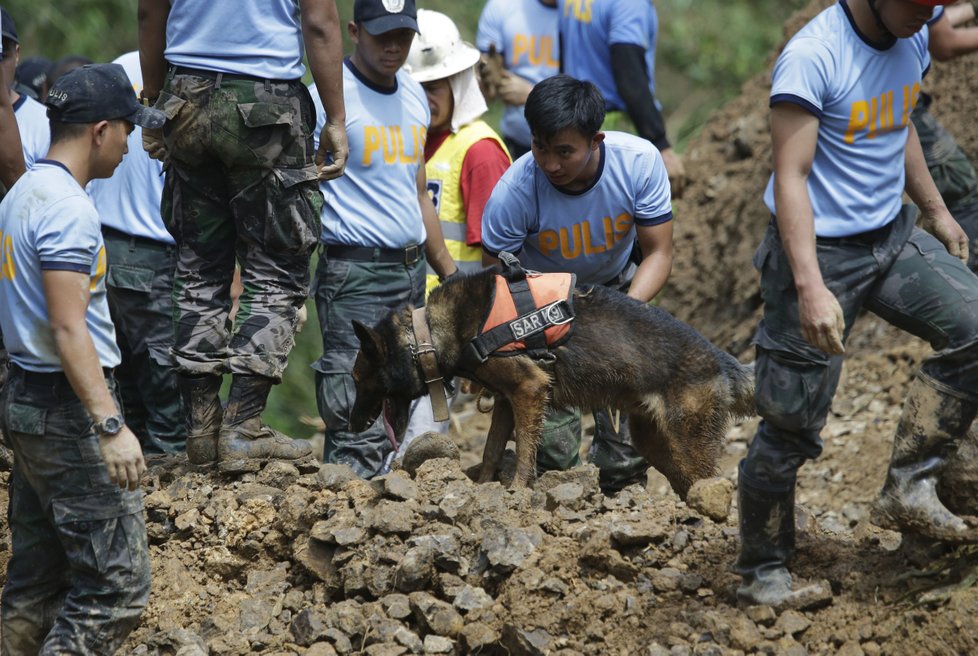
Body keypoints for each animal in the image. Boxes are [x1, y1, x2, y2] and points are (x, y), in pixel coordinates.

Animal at [346, 262, 752, 498]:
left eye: (356, 378)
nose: (351, 426)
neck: (427, 334)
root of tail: (723, 360)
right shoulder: (506, 401)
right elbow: (492, 449)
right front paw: (481, 486)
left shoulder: (529, 389)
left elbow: (526, 450)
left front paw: (519, 489)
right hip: (656, 443)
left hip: (686, 442)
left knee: (710, 483)